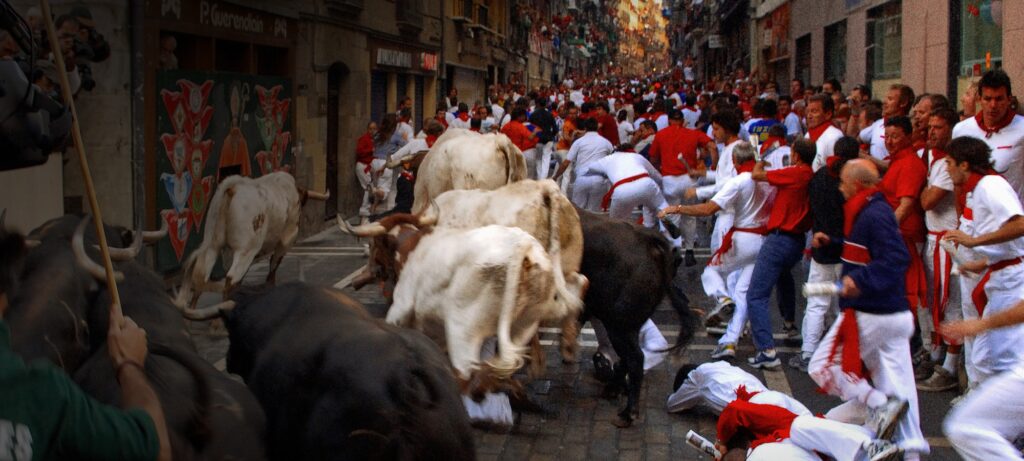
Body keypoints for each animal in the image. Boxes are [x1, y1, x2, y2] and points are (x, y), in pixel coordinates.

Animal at [175, 171, 327, 307]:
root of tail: (234, 187)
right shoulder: (287, 239)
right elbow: (274, 264)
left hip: (213, 245)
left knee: (201, 277)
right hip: (246, 250)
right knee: (231, 279)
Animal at [581, 211, 700, 426]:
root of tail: (649, 240)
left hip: (619, 326)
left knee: (635, 358)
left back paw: (628, 412)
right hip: (626, 327)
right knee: (627, 358)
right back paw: (613, 389)